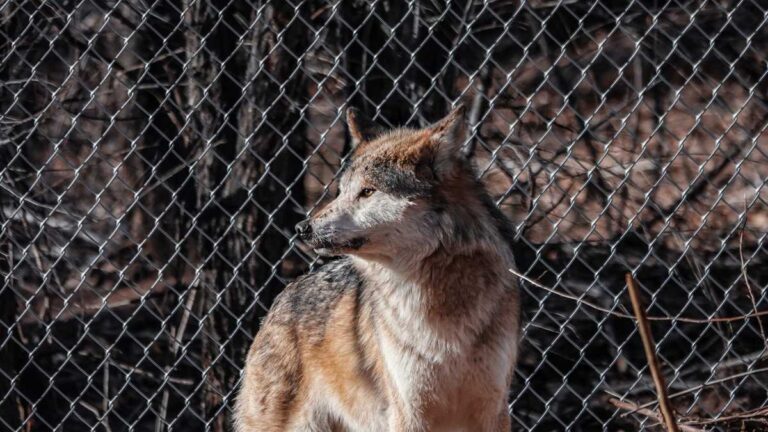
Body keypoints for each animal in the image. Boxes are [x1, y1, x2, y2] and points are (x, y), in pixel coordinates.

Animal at [234, 106, 521, 432]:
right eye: (342, 191)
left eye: (368, 191)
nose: (302, 228)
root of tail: (283, 296)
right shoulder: (409, 411)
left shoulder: (494, 410)